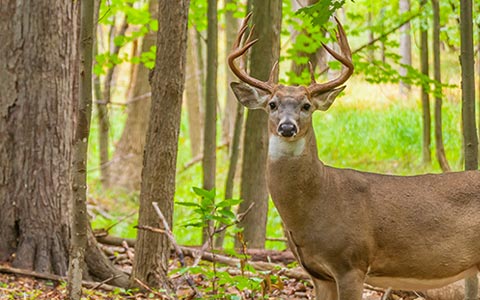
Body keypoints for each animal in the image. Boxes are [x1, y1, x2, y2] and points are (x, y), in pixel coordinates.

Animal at [227, 12, 480, 298]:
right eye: (272, 104)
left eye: (306, 106)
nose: (287, 127)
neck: (320, 198)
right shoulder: (318, 273)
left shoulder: (351, 262)